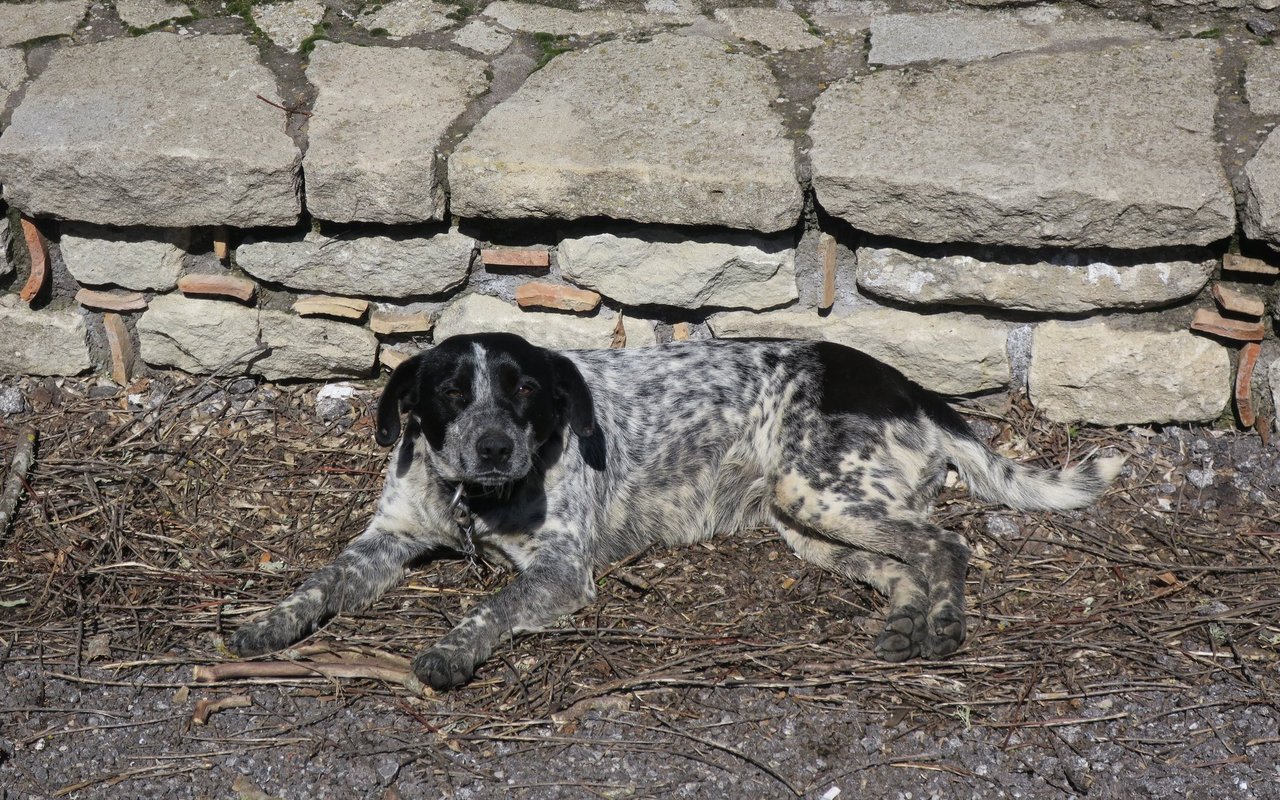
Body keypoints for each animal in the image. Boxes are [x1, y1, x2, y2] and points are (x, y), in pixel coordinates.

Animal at [228, 332, 1122, 689]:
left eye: (524, 390)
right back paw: (905, 623)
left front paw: (451, 651)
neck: (471, 501)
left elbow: (488, 608)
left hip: (819, 492)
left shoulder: (559, 572)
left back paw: (942, 626)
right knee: (902, 562)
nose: (493, 447)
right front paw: (265, 623)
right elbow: (319, 581)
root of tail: (906, 383)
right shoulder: (388, 538)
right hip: (807, 522)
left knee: (946, 545)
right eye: (451, 391)